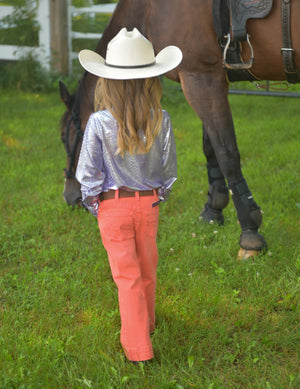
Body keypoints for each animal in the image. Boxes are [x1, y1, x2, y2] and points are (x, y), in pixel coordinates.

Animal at [59, 0, 300, 260]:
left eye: (64, 137)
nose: (69, 196)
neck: (149, 9)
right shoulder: (212, 80)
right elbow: (211, 147)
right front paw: (213, 209)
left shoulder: (199, 78)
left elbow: (227, 153)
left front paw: (250, 232)